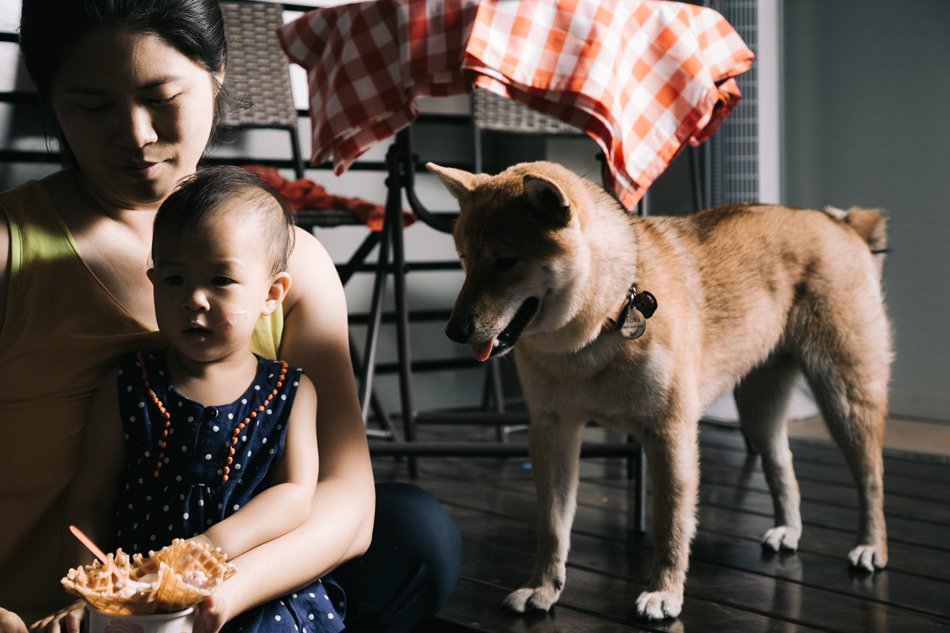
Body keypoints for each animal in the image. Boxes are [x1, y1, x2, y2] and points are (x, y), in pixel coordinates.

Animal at [430, 160, 892, 620]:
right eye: (464, 259)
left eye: (506, 261)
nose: (454, 331)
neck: (605, 317)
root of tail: (840, 223)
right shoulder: (552, 431)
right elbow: (552, 525)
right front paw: (542, 587)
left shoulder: (670, 434)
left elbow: (670, 525)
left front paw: (664, 593)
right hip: (759, 412)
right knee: (783, 466)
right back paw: (788, 530)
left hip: (845, 398)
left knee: (871, 478)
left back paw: (871, 547)